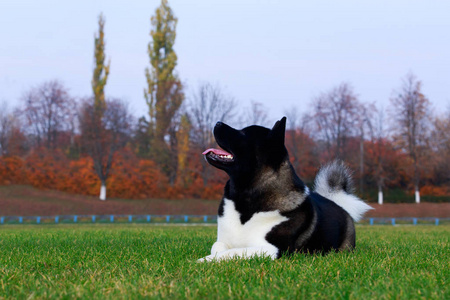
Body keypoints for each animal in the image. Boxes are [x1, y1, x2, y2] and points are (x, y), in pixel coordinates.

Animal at [199, 116, 370, 262]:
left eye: (243, 134)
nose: (218, 122)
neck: (246, 200)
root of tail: (338, 204)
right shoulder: (223, 241)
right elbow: (218, 248)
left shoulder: (272, 250)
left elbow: (233, 252)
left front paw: (205, 260)